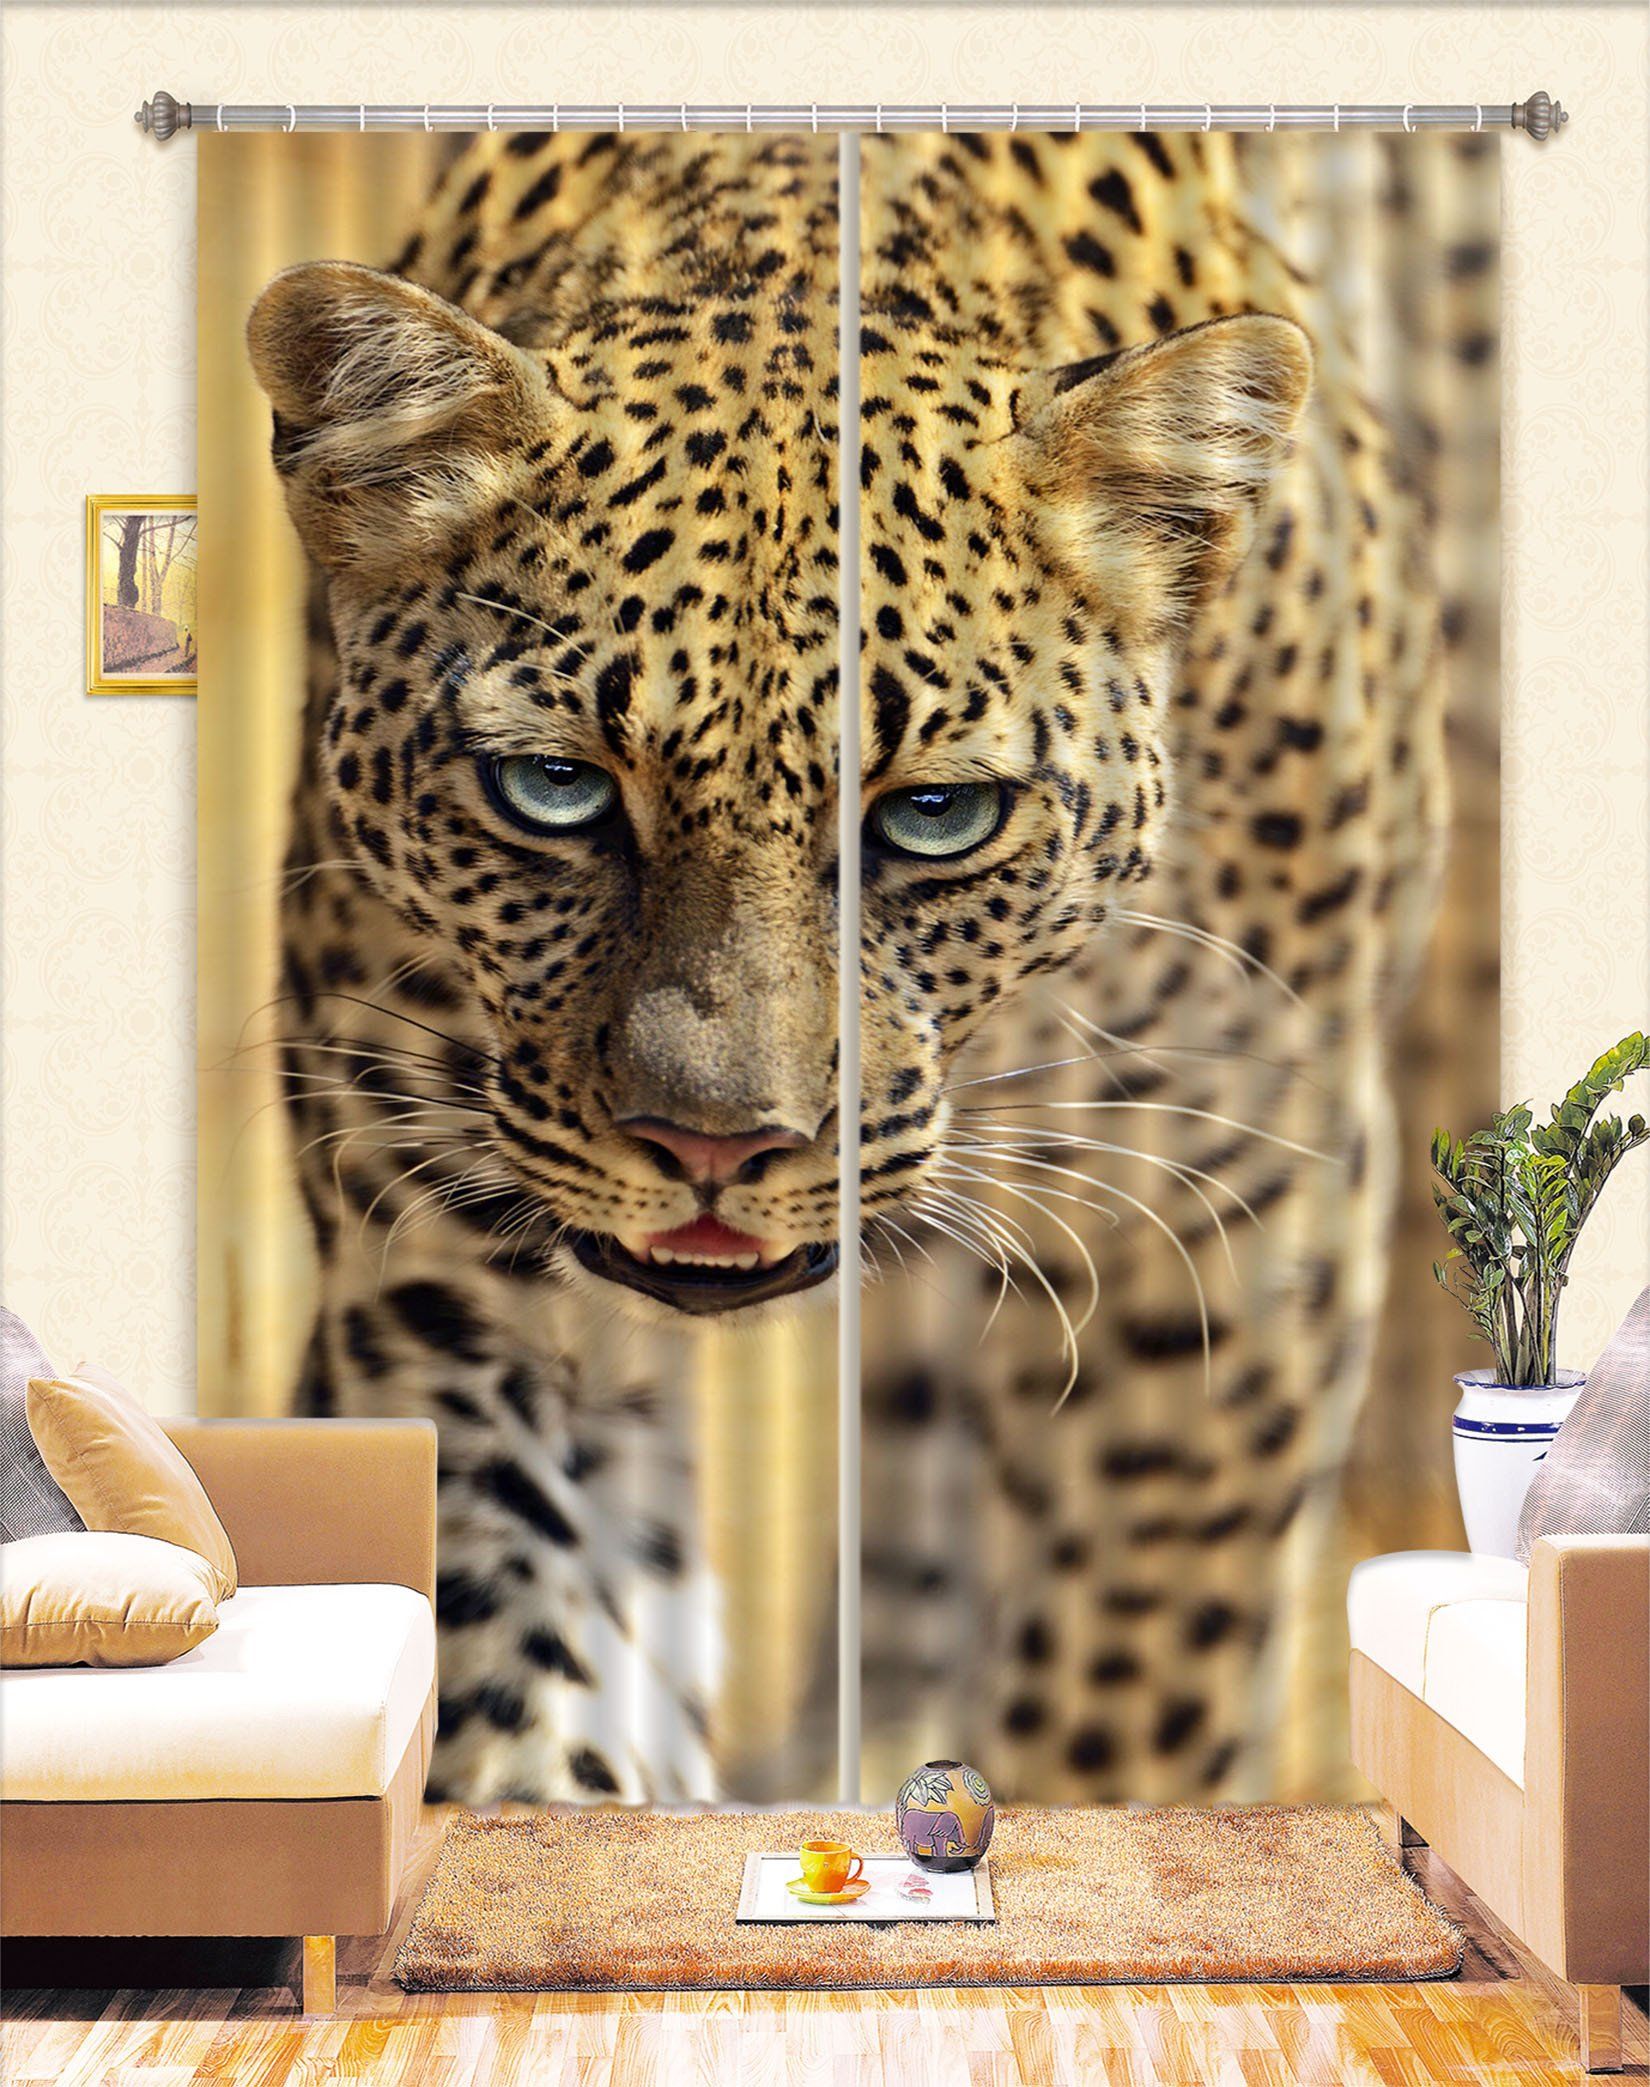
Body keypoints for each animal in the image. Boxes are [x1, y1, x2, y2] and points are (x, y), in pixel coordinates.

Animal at [246, 125, 1473, 1805]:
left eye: (933, 815)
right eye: (552, 788)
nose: (712, 1146)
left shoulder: (1226, 1229)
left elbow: (1128, 1682)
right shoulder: (443, 1238)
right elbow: (523, 1684)